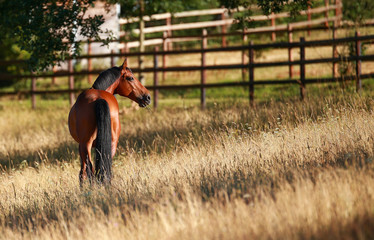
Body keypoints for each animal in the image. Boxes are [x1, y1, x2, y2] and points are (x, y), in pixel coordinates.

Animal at [67, 58, 150, 186]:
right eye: (130, 78)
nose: (147, 97)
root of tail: (98, 98)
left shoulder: (81, 146)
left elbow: (82, 173)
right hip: (110, 143)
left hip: (85, 145)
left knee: (89, 171)